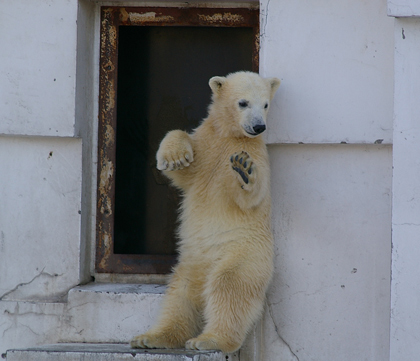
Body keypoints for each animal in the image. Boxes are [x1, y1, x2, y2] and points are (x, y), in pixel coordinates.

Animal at [130, 70, 280, 352]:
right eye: (243, 102)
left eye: (266, 104)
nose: (259, 127)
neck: (230, 136)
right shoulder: (207, 146)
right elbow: (183, 170)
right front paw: (175, 156)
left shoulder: (257, 154)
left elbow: (251, 196)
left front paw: (243, 170)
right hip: (190, 263)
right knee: (179, 296)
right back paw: (152, 337)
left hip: (246, 254)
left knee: (229, 287)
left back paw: (210, 339)